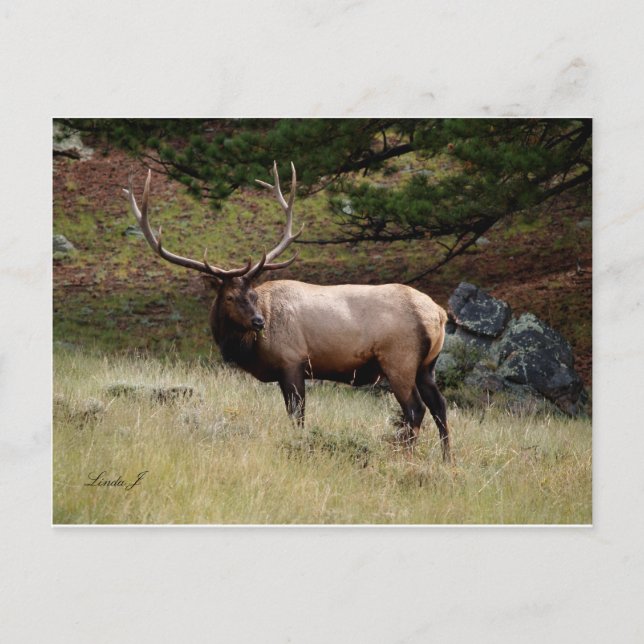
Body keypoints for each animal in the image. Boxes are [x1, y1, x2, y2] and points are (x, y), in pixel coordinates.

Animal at [123, 162, 452, 462]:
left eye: (252, 294)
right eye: (230, 296)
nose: (258, 321)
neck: (248, 349)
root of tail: (439, 313)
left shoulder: (292, 361)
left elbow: (298, 417)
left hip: (399, 360)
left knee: (415, 409)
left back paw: (403, 457)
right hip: (427, 365)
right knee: (440, 406)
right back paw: (447, 460)